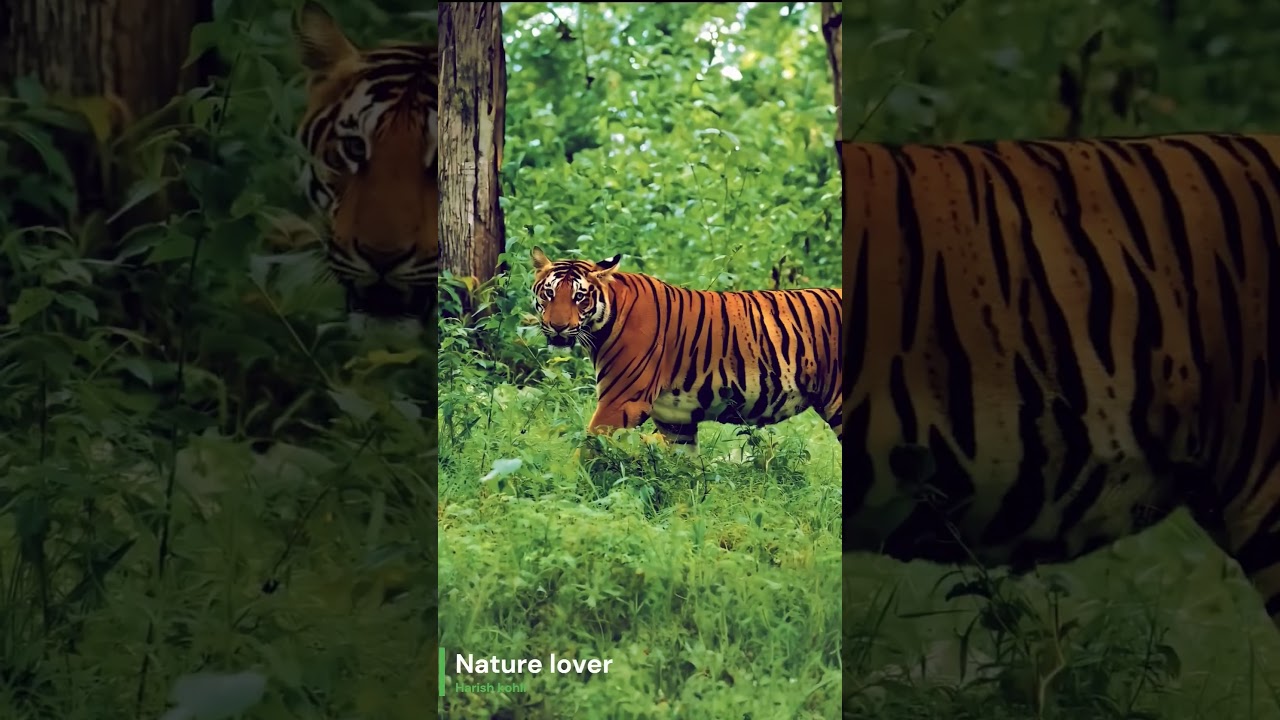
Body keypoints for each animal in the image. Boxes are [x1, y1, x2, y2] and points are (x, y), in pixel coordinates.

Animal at [530, 246, 843, 450]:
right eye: (549, 293)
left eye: (579, 297)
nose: (557, 326)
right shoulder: (676, 421)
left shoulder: (620, 403)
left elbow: (587, 450)